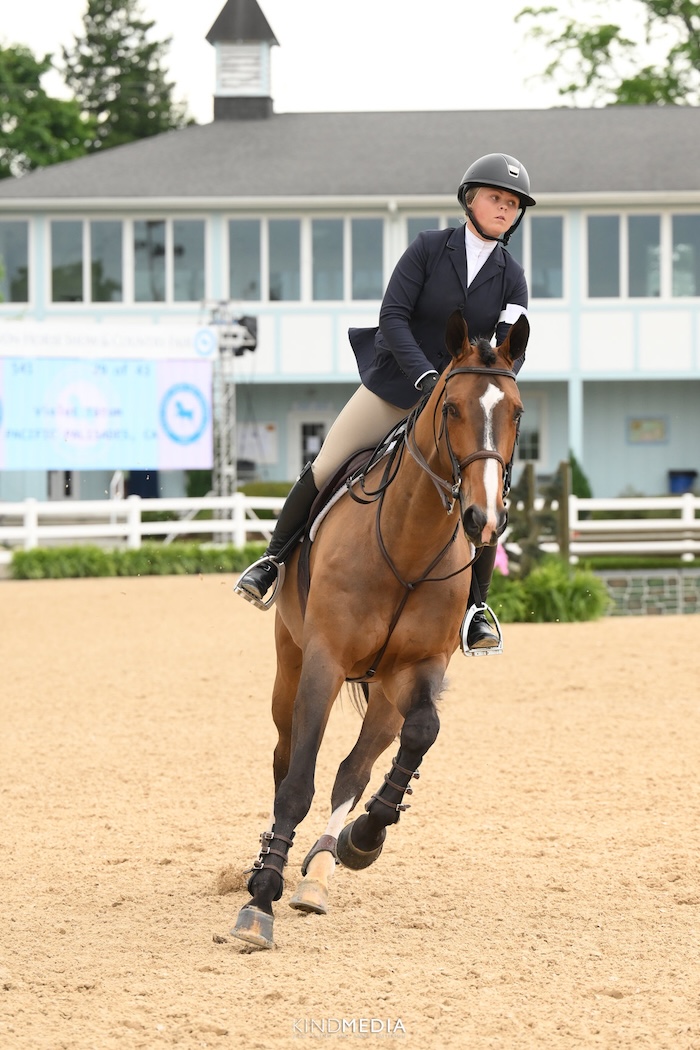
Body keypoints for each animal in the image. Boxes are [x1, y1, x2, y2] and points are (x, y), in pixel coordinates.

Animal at [231, 309, 528, 949]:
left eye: (517, 412)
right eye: (451, 408)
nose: (483, 519)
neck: (408, 545)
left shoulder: (419, 668)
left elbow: (419, 735)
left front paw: (365, 837)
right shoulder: (324, 661)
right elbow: (299, 778)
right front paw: (260, 899)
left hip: (386, 691)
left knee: (355, 769)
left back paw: (319, 873)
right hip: (290, 665)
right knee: (285, 757)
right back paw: (271, 861)